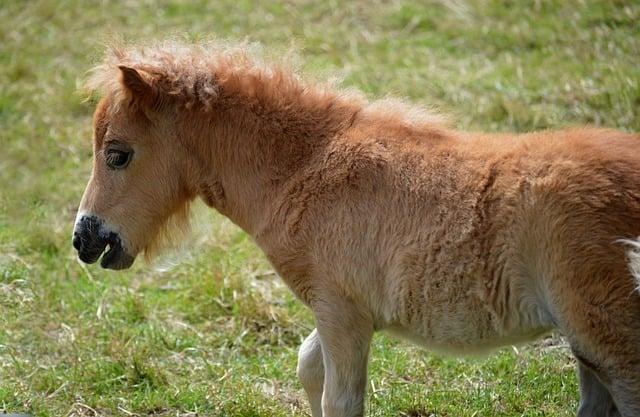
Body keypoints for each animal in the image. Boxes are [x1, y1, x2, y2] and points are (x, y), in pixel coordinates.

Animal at [74, 40, 640, 414]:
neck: (305, 166)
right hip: (587, 350)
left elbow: (339, 398)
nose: (84, 239)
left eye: (117, 154)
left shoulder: (342, 311)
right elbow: (308, 368)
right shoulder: (341, 307)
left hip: (612, 345)